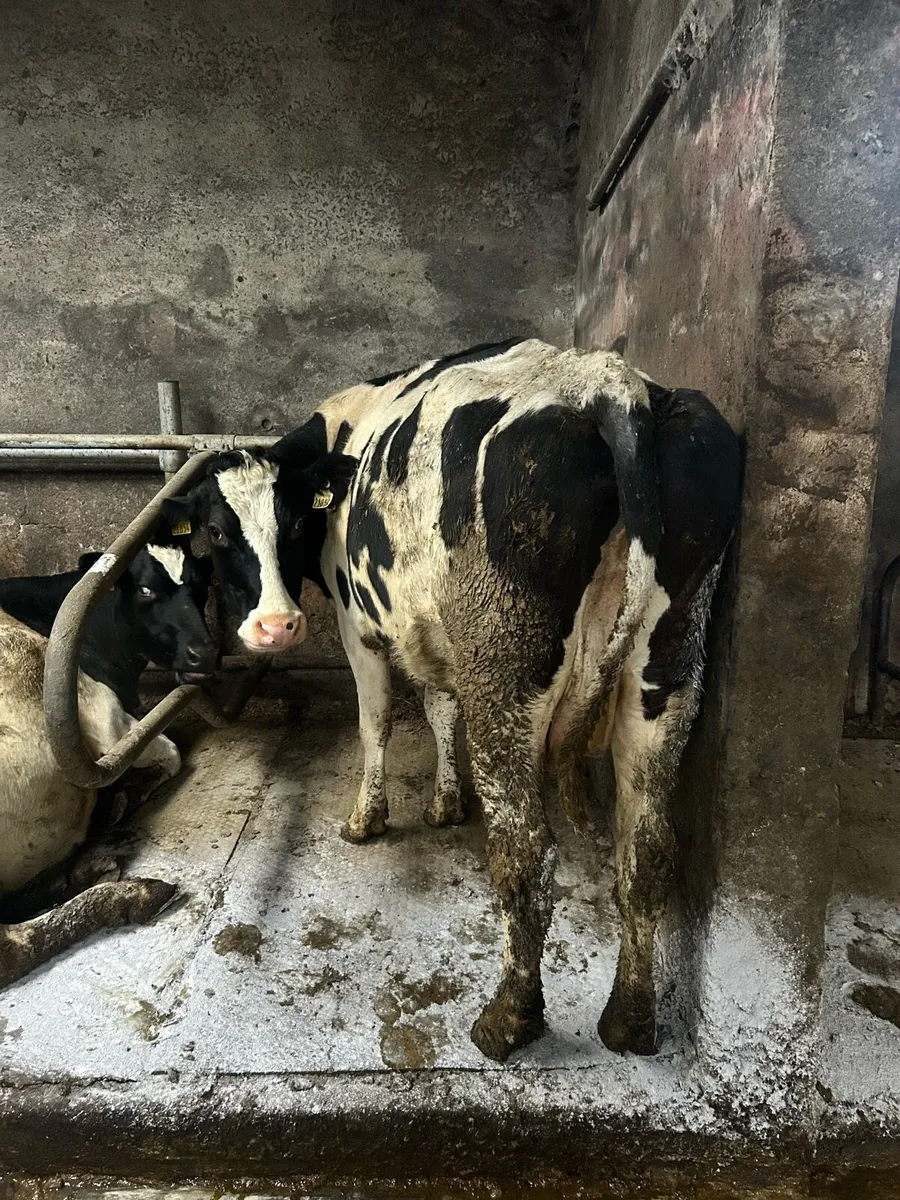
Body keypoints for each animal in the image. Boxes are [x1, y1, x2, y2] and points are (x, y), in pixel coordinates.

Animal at [0, 517, 218, 988]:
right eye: (146, 590)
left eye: (200, 584)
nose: (205, 653)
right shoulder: (104, 718)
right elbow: (171, 753)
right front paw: (128, 793)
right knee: (13, 947)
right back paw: (131, 894)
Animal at [165, 338, 741, 1061]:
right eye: (217, 532)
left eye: (294, 522)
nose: (276, 626)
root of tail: (608, 382)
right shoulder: (429, 630)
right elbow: (441, 708)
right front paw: (445, 801)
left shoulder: (360, 626)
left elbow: (377, 720)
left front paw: (367, 818)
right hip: (669, 658)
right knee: (648, 849)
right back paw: (630, 1019)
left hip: (505, 657)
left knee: (527, 853)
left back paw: (508, 1019)